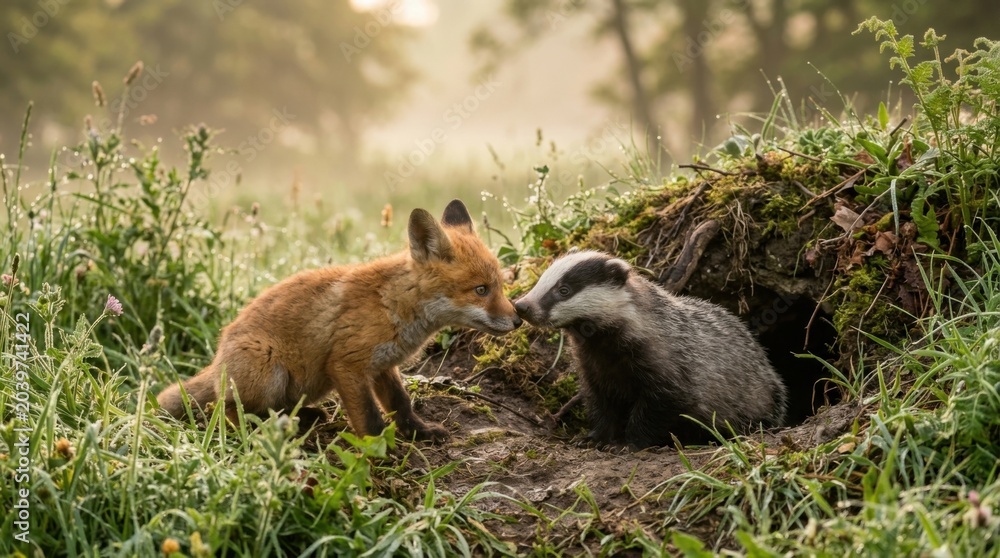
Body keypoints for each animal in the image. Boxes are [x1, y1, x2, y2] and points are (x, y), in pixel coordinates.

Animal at [156, 199, 522, 442]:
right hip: (268, 369)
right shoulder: (346, 364)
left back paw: (302, 418)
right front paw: (379, 451)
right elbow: (370, 417)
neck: (393, 304)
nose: (518, 319)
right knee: (225, 412)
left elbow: (400, 404)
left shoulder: (383, 365)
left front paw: (418, 432)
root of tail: (217, 358)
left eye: (499, 286)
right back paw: (270, 427)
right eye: (481, 290)